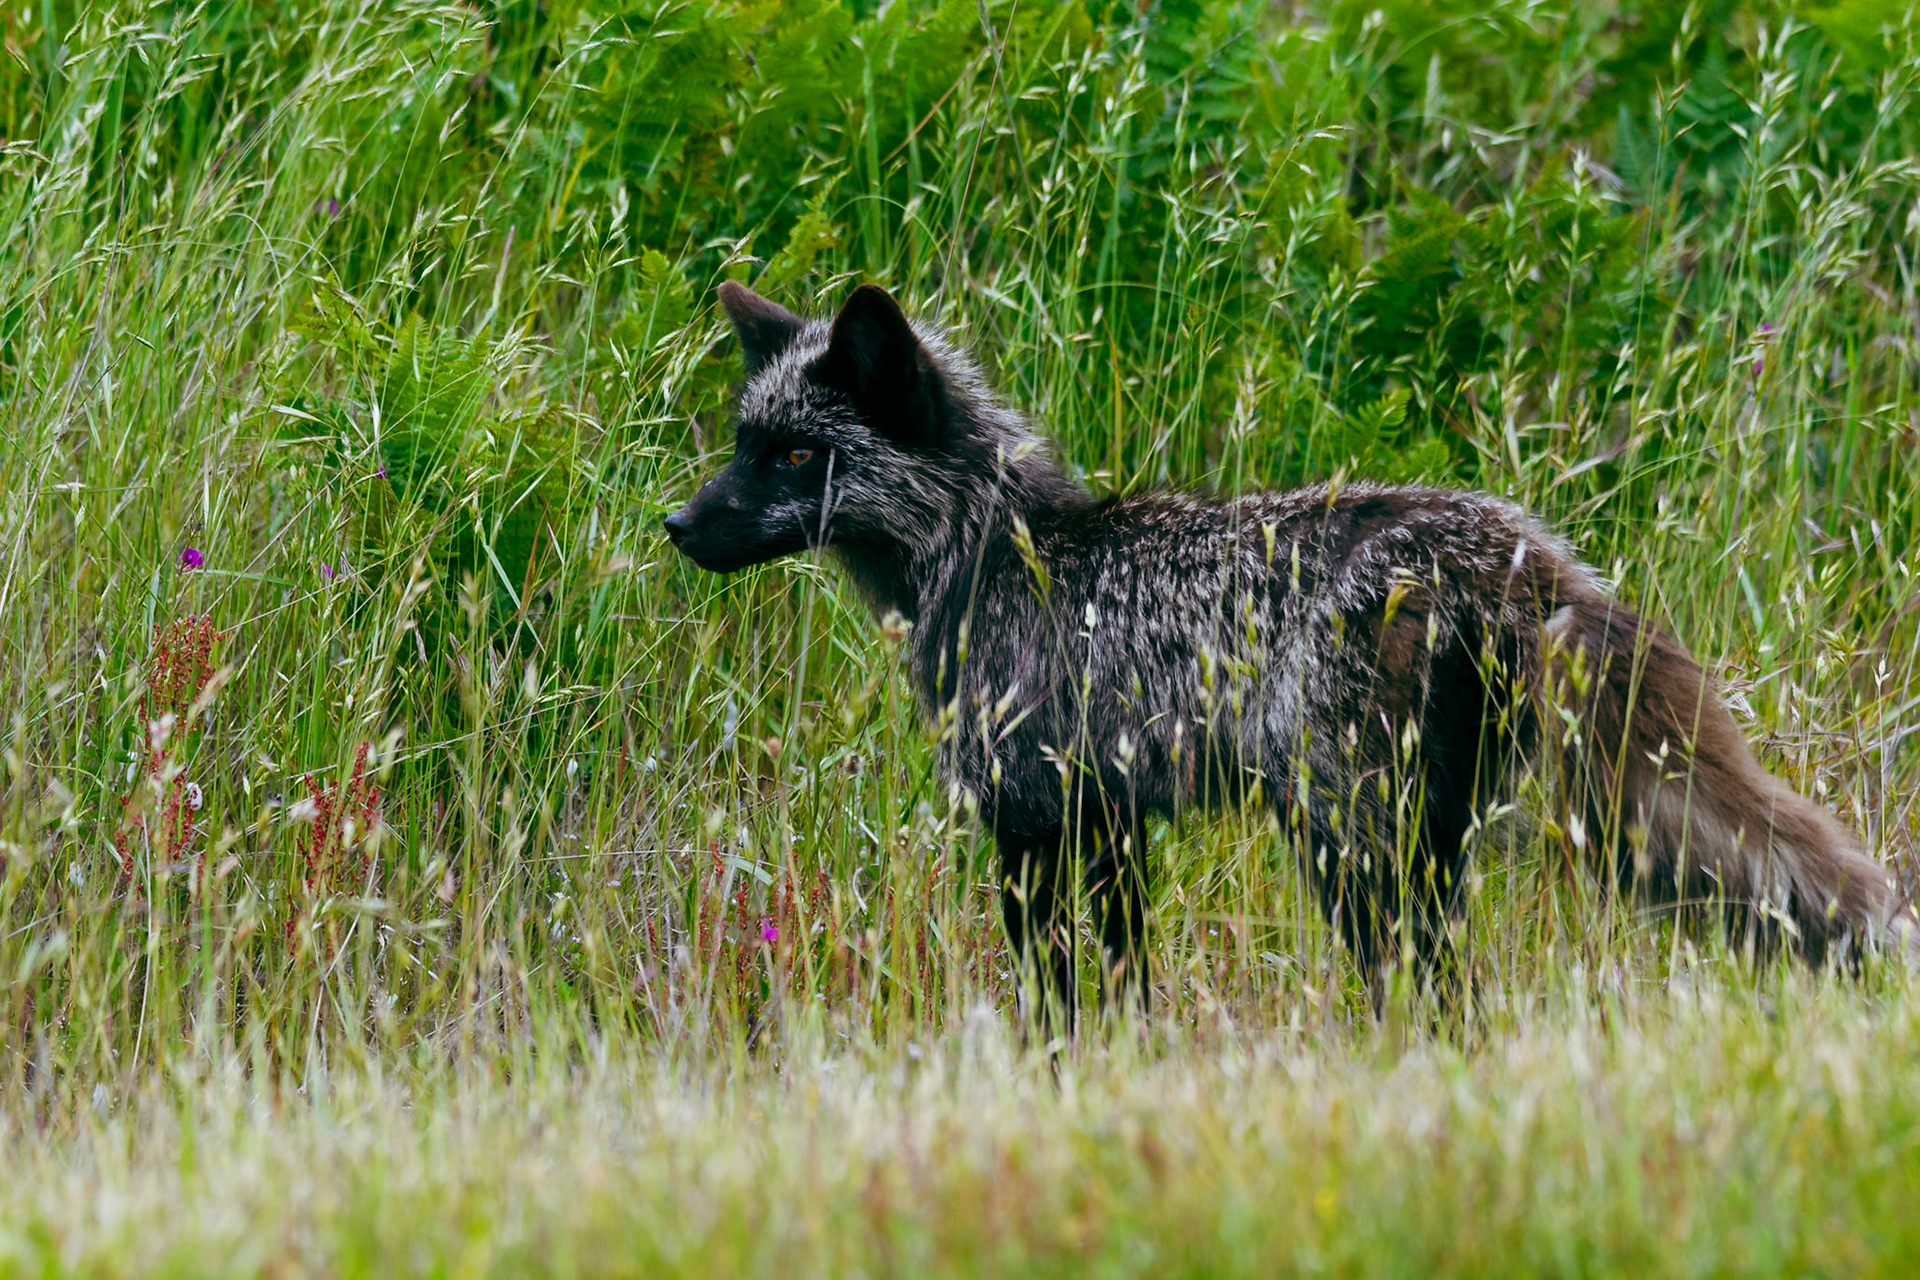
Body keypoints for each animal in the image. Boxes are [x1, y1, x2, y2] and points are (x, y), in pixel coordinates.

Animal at [665, 280, 1917, 1030]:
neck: (1001, 554)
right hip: (1425, 838)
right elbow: (1124, 995)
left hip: (1351, 841)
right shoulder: (1107, 823)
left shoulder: (1030, 817)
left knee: (1432, 992)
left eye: (794, 456)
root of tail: (1508, 550)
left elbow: (1056, 1006)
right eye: (741, 444)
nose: (677, 525)